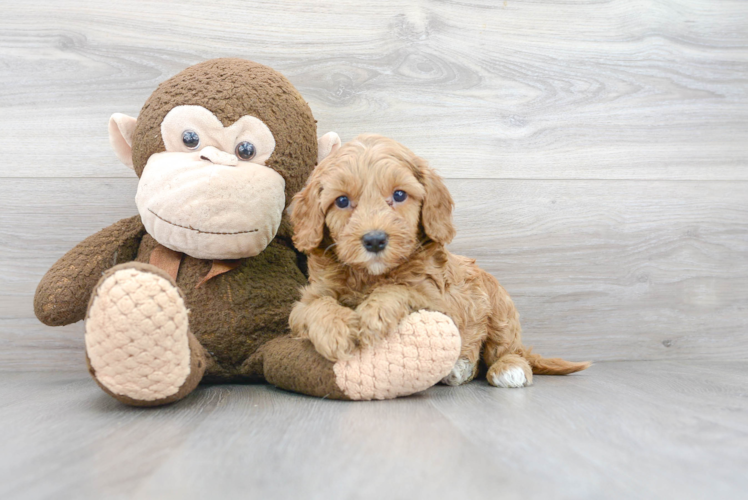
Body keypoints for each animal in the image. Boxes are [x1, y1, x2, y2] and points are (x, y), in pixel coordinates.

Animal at [290, 133, 588, 386]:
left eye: (399, 195)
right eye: (341, 201)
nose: (374, 240)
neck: (370, 276)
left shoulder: (443, 302)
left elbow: (401, 288)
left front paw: (373, 315)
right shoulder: (307, 299)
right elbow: (315, 305)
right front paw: (336, 331)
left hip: (501, 309)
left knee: (506, 349)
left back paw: (508, 368)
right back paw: (460, 369)